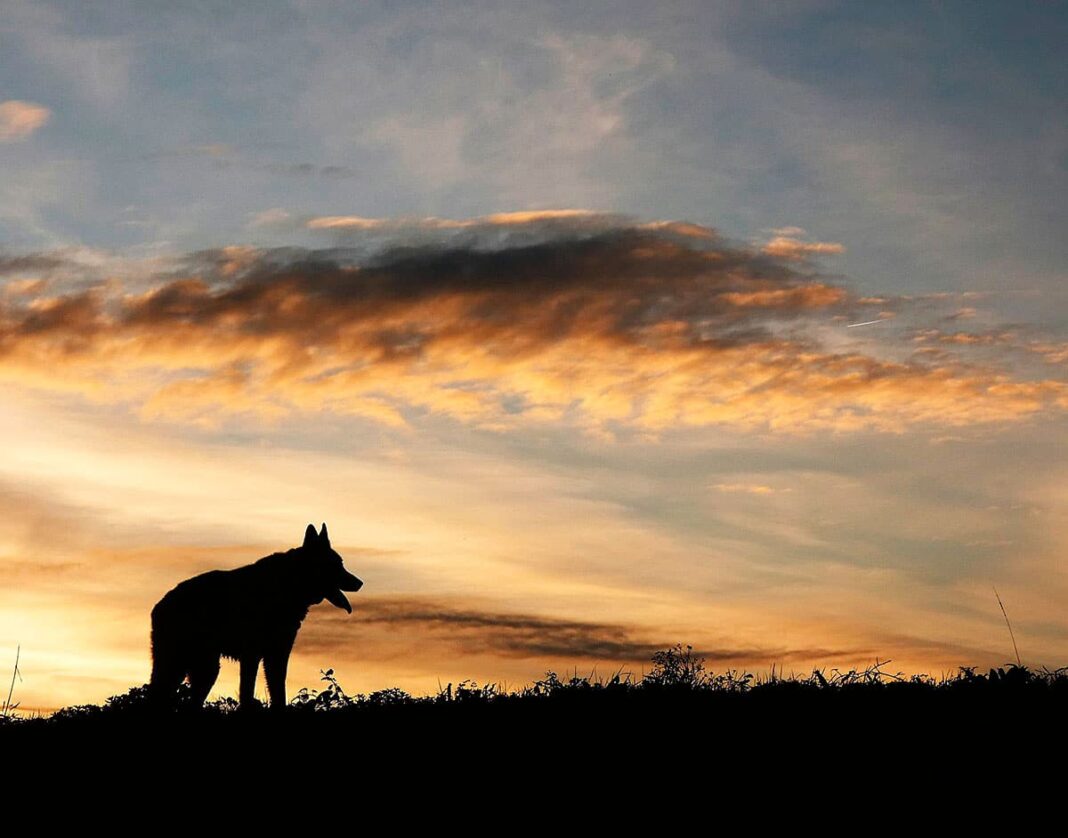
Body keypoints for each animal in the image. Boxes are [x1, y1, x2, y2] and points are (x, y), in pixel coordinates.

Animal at [146, 518, 365, 708]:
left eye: (341, 563)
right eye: (336, 565)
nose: (360, 583)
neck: (288, 583)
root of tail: (159, 605)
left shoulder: (277, 654)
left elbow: (278, 692)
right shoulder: (251, 655)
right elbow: (247, 693)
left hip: (202, 667)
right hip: (186, 664)